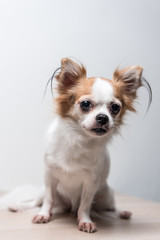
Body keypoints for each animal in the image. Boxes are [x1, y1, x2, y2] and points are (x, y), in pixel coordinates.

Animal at [0, 58, 151, 232]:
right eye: (85, 104)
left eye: (115, 107)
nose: (103, 117)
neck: (79, 139)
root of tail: (67, 207)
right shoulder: (50, 176)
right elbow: (48, 200)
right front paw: (43, 215)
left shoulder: (91, 183)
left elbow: (85, 205)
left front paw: (85, 221)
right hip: (45, 192)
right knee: (36, 203)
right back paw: (17, 206)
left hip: (105, 194)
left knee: (106, 210)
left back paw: (122, 213)